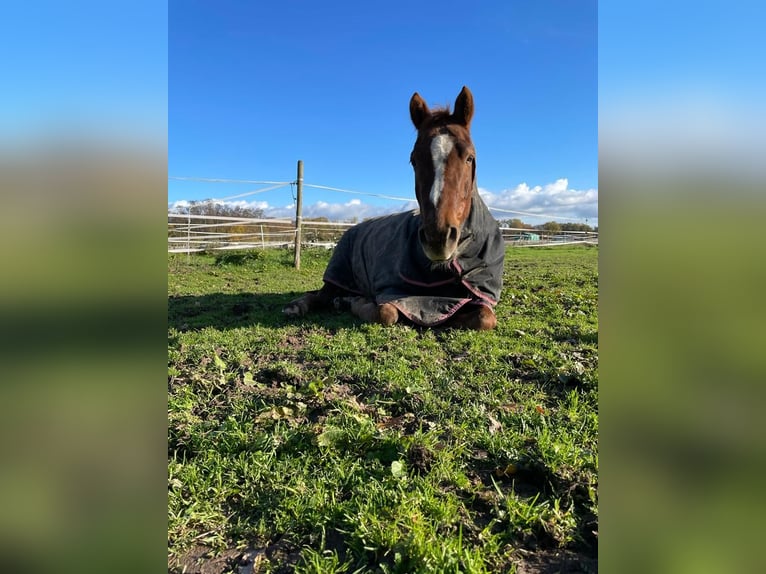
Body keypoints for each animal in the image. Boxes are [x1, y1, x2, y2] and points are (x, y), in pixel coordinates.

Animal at [283, 86, 505, 330]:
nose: (438, 238)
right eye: (414, 160)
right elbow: (386, 313)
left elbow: (484, 318)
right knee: (318, 295)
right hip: (338, 275)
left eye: (469, 157)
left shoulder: (479, 294)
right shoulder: (391, 291)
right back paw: (301, 306)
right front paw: (355, 302)